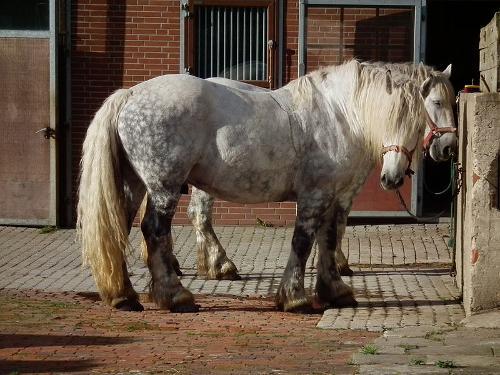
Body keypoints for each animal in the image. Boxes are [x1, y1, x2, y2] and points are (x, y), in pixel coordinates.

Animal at [78, 61, 434, 312]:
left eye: (419, 124)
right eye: (388, 116)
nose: (393, 177)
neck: (338, 116)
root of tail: (130, 94)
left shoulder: (332, 197)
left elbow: (328, 240)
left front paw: (335, 291)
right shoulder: (314, 195)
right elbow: (303, 242)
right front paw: (294, 297)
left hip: (135, 184)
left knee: (120, 226)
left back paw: (124, 296)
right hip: (164, 186)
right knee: (154, 230)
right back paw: (175, 295)